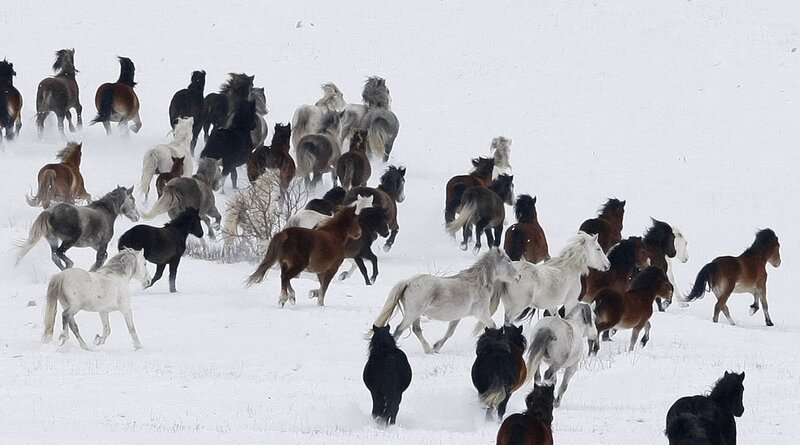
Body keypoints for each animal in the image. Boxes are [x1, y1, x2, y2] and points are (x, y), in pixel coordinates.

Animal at [372, 248, 520, 354]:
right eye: (508, 261)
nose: (519, 276)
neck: (478, 283)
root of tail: (409, 281)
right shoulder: (482, 313)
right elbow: (493, 326)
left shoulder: (457, 317)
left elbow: (449, 333)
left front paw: (436, 347)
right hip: (412, 314)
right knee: (399, 330)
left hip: (416, 315)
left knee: (416, 330)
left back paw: (429, 350)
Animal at [477, 232, 609, 333]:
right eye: (598, 249)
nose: (608, 265)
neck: (569, 268)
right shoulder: (570, 302)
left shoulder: (552, 306)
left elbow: (556, 317)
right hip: (516, 307)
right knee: (508, 322)